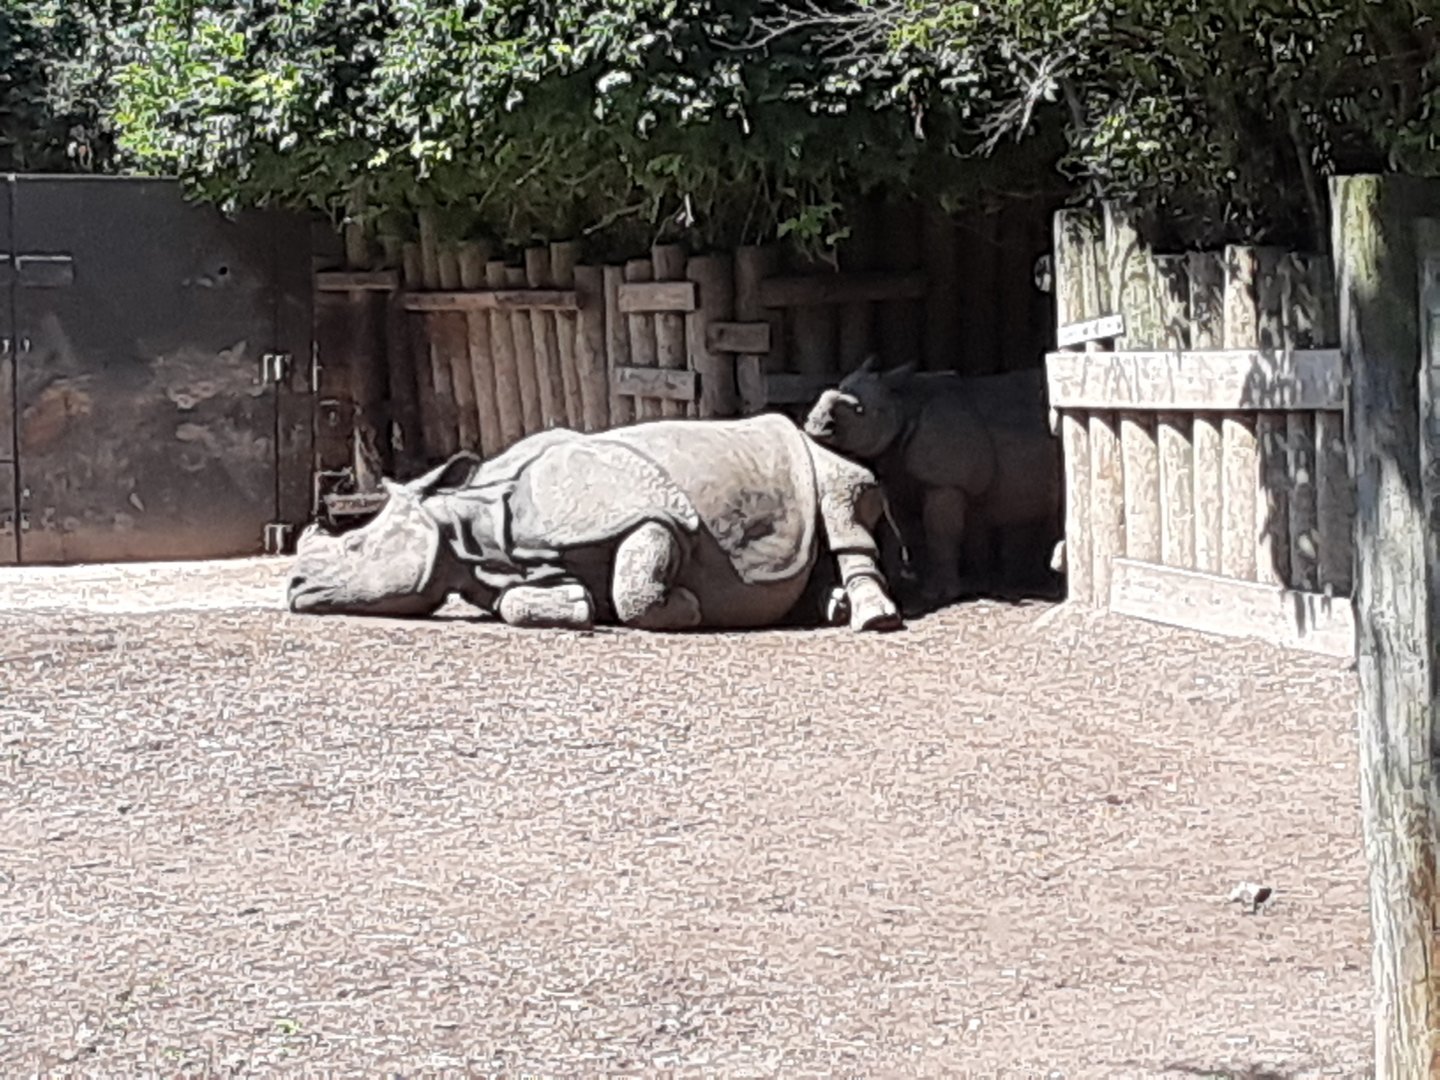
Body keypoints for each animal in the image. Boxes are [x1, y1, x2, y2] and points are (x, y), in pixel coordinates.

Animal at [285, 413, 905, 633]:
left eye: (356, 546)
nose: (292, 587)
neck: (468, 525)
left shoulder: (653, 514)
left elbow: (637, 582)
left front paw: (690, 609)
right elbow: (516, 602)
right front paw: (581, 605)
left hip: (820, 452)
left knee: (842, 498)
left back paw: (871, 620)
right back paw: (832, 608)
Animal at [802, 356, 1063, 606]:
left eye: (859, 410)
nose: (815, 425)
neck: (901, 404)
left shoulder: (945, 483)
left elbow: (939, 532)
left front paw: (940, 594)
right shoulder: (899, 478)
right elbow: (909, 531)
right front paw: (914, 590)